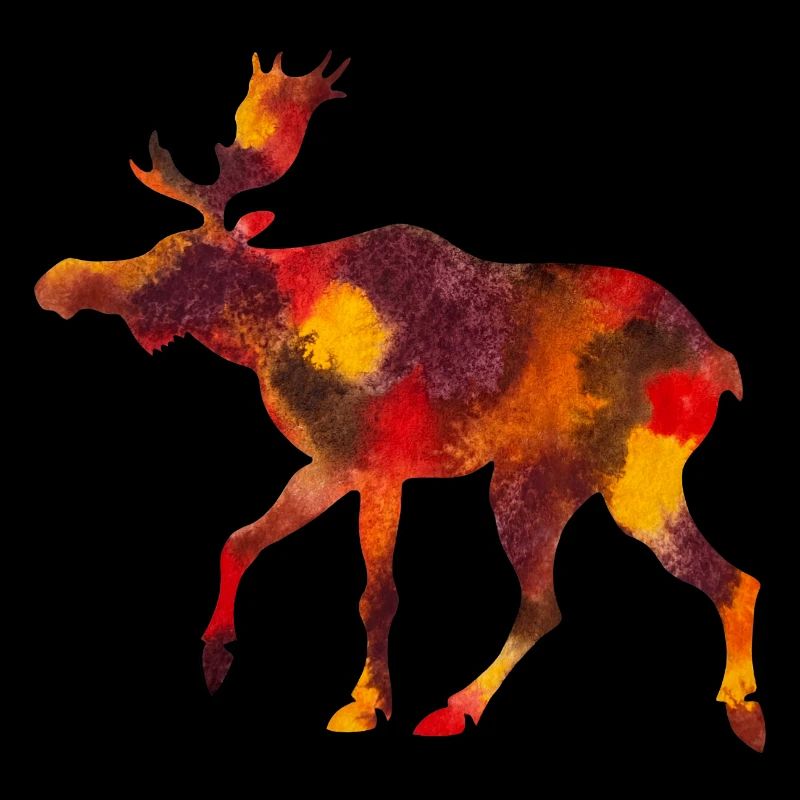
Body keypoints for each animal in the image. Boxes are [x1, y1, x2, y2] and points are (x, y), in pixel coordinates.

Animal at [35, 51, 765, 751]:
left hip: (611, 481)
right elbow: (239, 541)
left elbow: (376, 595)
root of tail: (722, 366)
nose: (57, 283)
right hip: (556, 483)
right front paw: (217, 656)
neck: (276, 328)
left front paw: (366, 702)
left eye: (180, 259)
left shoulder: (381, 470)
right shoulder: (331, 465)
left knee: (712, 582)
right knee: (578, 599)